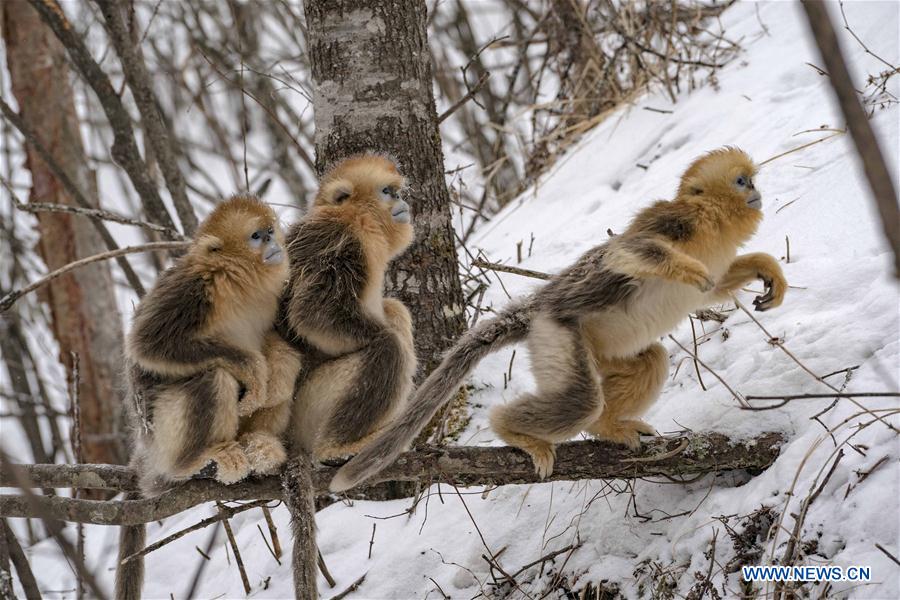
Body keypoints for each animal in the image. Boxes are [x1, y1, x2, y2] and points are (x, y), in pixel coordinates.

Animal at [115, 195, 299, 600]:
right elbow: (147, 344)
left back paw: (262, 445)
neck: (237, 284)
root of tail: (147, 450)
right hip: (164, 433)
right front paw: (251, 368)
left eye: (270, 230)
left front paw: (275, 371)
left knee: (281, 381)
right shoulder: (192, 288)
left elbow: (279, 346)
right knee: (214, 378)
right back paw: (196, 462)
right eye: (256, 236)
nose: (274, 242)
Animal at [276, 153, 417, 461]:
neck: (358, 219)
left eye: (397, 191)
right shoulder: (338, 243)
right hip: (308, 406)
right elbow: (311, 314)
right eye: (387, 191)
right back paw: (337, 448)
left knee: (395, 310)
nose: (401, 201)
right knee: (390, 347)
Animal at [331, 147, 787, 491]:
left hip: (599, 347)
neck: (713, 224)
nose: (757, 192)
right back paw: (514, 430)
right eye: (742, 182)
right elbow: (623, 252)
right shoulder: (672, 222)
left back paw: (608, 426)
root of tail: (536, 307)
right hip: (555, 333)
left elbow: (716, 288)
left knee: (650, 360)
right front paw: (686, 268)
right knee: (581, 398)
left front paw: (769, 272)